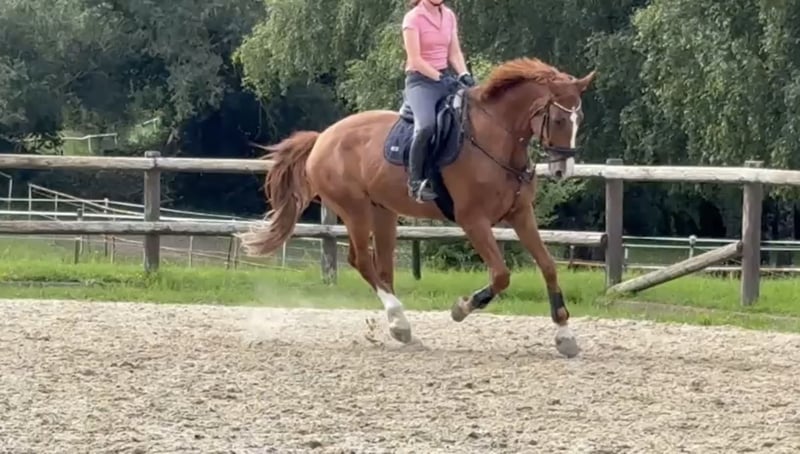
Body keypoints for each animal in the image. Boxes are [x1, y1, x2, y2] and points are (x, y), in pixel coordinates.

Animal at [238, 57, 596, 358]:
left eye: (580, 118)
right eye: (560, 118)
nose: (563, 171)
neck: (497, 140)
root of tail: (322, 137)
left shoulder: (521, 215)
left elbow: (548, 266)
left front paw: (564, 335)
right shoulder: (473, 220)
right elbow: (501, 274)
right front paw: (462, 308)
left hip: (383, 212)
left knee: (382, 269)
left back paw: (401, 328)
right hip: (355, 210)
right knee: (361, 261)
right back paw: (400, 323)